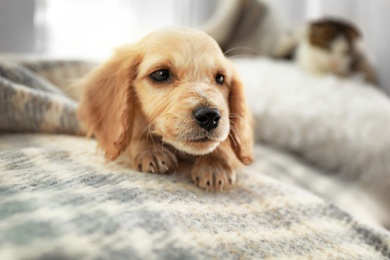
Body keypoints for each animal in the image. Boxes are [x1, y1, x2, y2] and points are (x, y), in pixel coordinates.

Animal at [76, 27, 254, 191]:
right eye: (161, 74)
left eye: (220, 78)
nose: (210, 116)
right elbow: (135, 135)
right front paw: (151, 150)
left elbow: (222, 144)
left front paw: (215, 164)